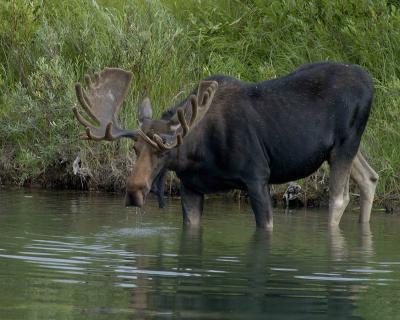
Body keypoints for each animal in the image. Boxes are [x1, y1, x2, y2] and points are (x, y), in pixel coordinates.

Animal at [74, 61, 378, 229]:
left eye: (164, 150)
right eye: (135, 149)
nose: (134, 192)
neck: (197, 155)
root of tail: (371, 83)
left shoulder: (257, 176)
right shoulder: (190, 187)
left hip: (345, 143)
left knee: (339, 198)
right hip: (341, 148)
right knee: (370, 177)